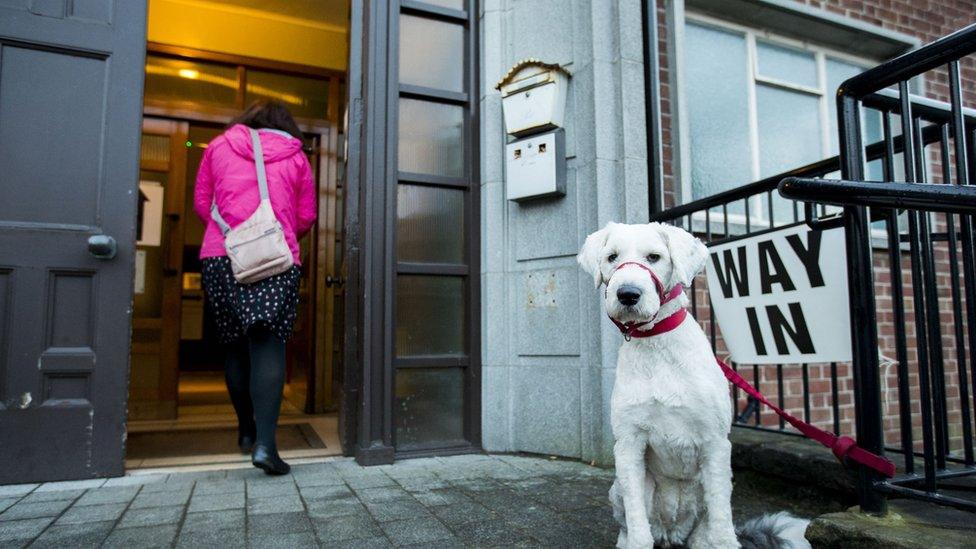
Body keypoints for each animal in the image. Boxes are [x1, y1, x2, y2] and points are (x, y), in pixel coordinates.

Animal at [580, 222, 808, 548]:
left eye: (654, 257)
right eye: (612, 257)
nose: (627, 294)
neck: (657, 347)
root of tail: (672, 532)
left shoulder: (715, 443)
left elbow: (722, 527)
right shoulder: (628, 443)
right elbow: (637, 525)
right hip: (621, 489)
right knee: (630, 525)